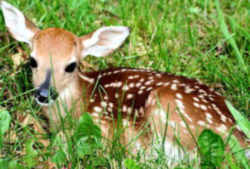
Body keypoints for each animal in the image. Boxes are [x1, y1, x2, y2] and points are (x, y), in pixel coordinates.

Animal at [0, 0, 249, 162]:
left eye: (71, 65)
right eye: (32, 61)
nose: (44, 94)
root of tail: (240, 135)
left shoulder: (100, 126)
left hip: (171, 109)